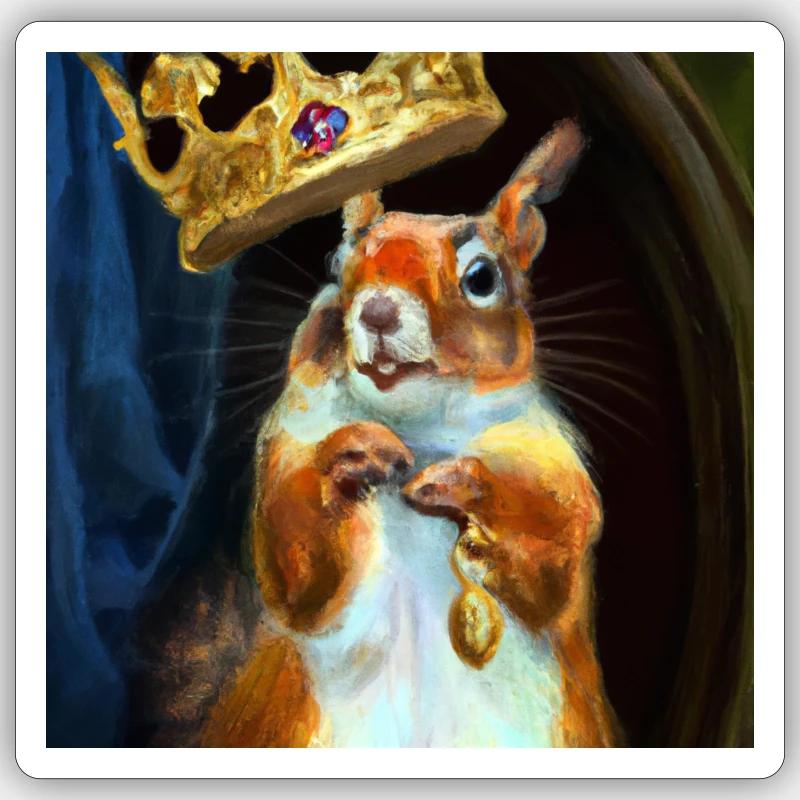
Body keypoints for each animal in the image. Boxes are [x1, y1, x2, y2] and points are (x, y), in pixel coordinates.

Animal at [144, 118, 619, 748]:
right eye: (339, 262)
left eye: (482, 277)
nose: (377, 312)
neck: (418, 434)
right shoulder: (287, 446)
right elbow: (301, 578)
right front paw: (348, 458)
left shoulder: (554, 469)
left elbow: (548, 563)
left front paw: (463, 484)